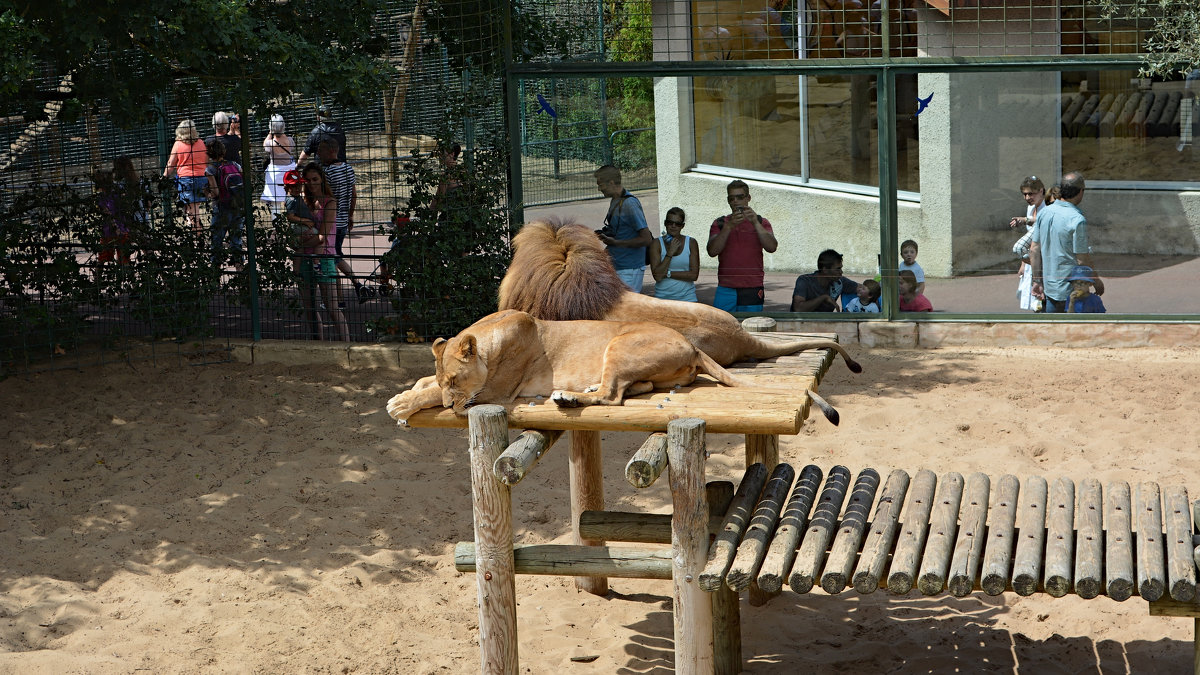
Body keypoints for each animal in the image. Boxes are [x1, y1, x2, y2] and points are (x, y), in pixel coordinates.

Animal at [386, 309, 739, 422]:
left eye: (455, 381)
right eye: (445, 379)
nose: (451, 406)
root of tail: (693, 346)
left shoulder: (496, 392)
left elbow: (431, 395)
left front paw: (401, 404)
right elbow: (424, 383)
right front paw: (410, 391)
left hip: (618, 345)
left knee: (612, 396)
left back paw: (565, 397)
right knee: (636, 387)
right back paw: (583, 389)